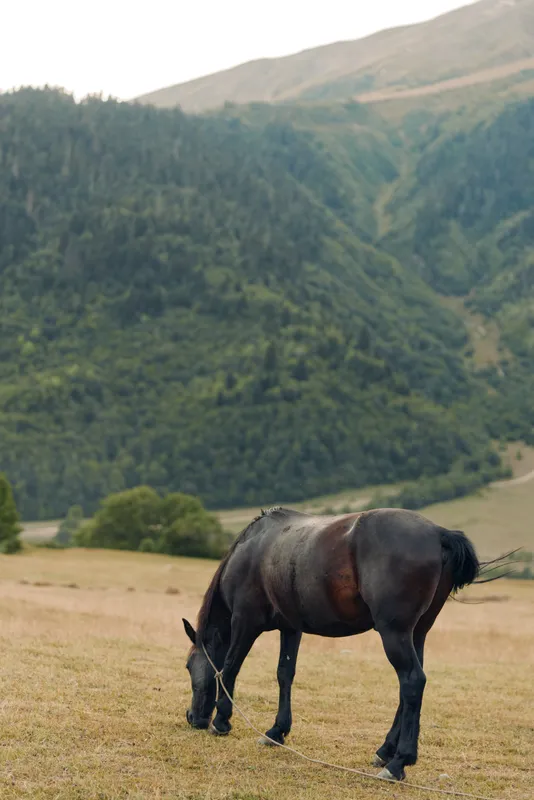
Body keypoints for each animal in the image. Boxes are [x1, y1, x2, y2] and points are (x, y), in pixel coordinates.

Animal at [182, 506, 481, 782]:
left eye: (187, 666)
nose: (192, 718)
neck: (251, 551)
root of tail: (438, 533)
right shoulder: (291, 628)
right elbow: (284, 675)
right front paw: (276, 731)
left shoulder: (245, 622)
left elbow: (229, 668)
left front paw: (221, 721)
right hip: (417, 633)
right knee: (408, 689)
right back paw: (385, 751)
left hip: (395, 633)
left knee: (412, 681)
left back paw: (398, 763)